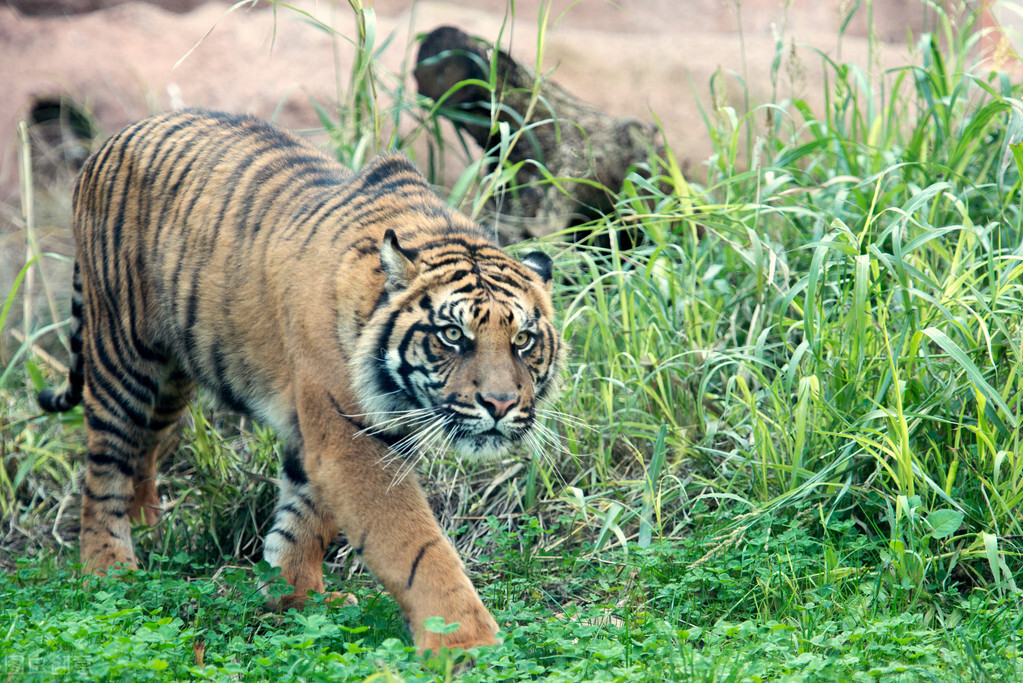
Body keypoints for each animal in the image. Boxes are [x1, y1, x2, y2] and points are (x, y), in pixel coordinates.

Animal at [37, 109, 568, 654]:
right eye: (453, 335)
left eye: (523, 340)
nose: (500, 404)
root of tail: (110, 140)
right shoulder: (349, 438)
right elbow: (416, 544)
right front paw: (464, 640)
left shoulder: (329, 435)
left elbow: (304, 517)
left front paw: (294, 595)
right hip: (124, 358)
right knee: (104, 465)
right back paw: (108, 569)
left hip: (173, 376)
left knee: (145, 445)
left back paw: (146, 519)